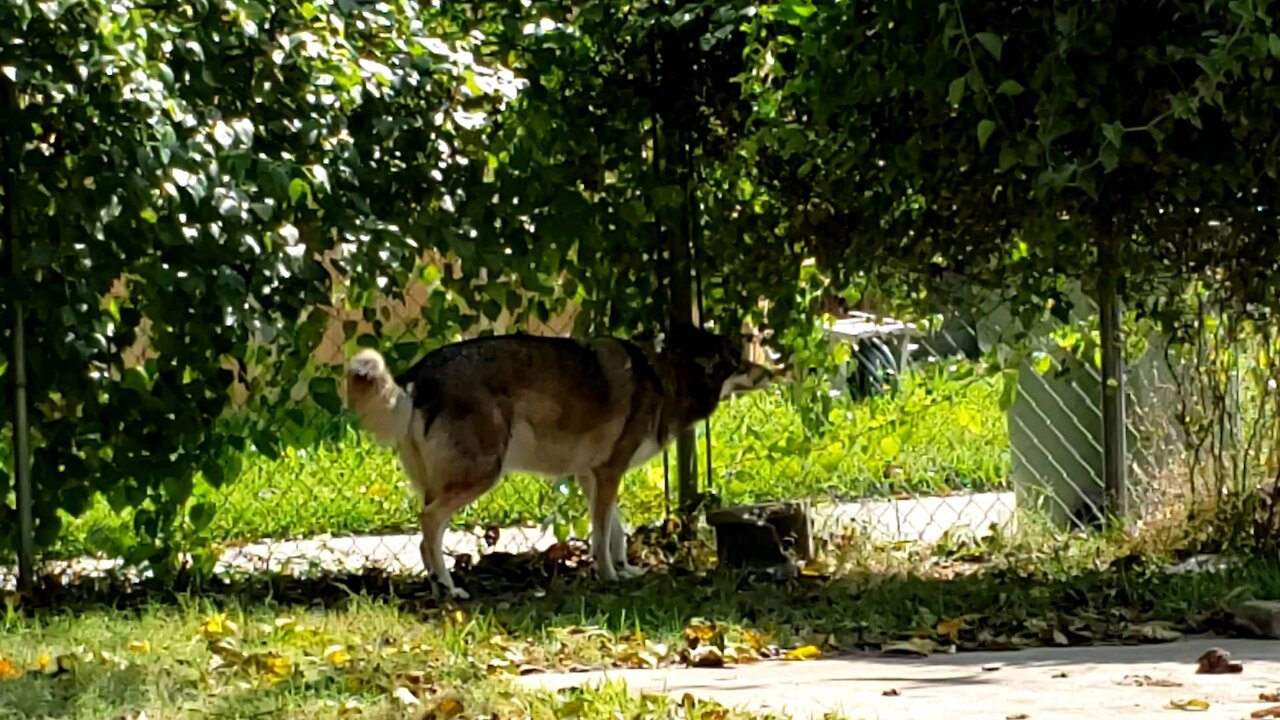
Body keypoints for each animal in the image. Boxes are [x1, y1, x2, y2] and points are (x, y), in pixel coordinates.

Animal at [340, 319, 773, 594]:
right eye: (739, 362)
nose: (772, 372)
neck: (667, 372)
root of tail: (419, 376)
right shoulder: (609, 471)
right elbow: (602, 533)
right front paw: (609, 576)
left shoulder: (591, 475)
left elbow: (617, 531)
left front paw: (626, 570)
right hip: (481, 474)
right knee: (428, 524)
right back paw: (447, 587)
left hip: (443, 481)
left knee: (426, 536)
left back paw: (437, 584)